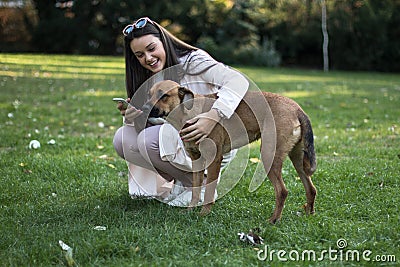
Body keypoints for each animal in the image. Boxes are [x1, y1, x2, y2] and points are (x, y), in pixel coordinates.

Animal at [139, 79, 318, 224]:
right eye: (149, 94)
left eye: (164, 96)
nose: (144, 109)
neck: (191, 114)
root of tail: (297, 109)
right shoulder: (196, 160)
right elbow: (196, 191)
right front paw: (190, 210)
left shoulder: (214, 160)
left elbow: (209, 192)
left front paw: (204, 214)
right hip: (298, 159)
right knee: (311, 189)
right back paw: (309, 214)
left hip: (269, 156)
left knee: (282, 191)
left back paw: (274, 219)